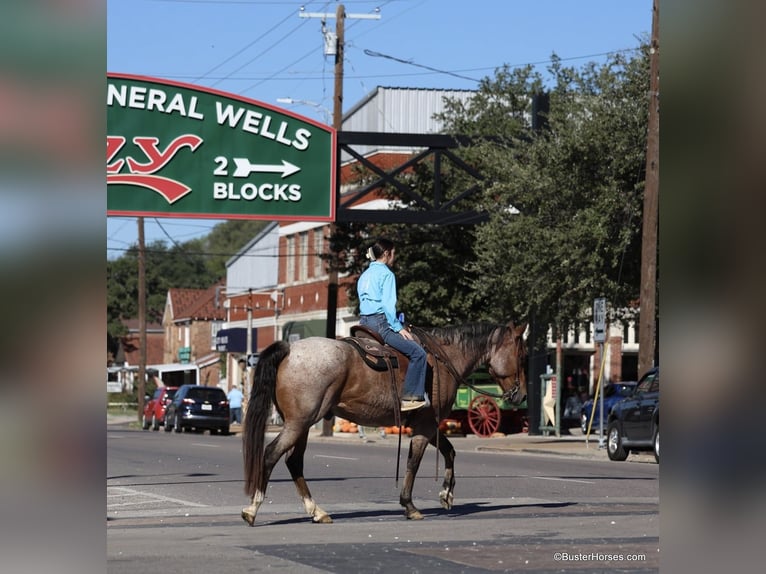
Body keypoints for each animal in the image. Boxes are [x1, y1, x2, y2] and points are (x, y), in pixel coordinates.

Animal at [240, 322, 528, 528]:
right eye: (522, 354)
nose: (522, 395)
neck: (445, 359)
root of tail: (290, 349)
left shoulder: (428, 424)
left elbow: (450, 451)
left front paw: (446, 494)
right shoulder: (425, 425)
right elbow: (414, 463)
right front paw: (410, 506)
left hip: (302, 423)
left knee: (293, 461)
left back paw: (317, 511)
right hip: (300, 422)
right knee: (271, 454)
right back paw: (252, 508)